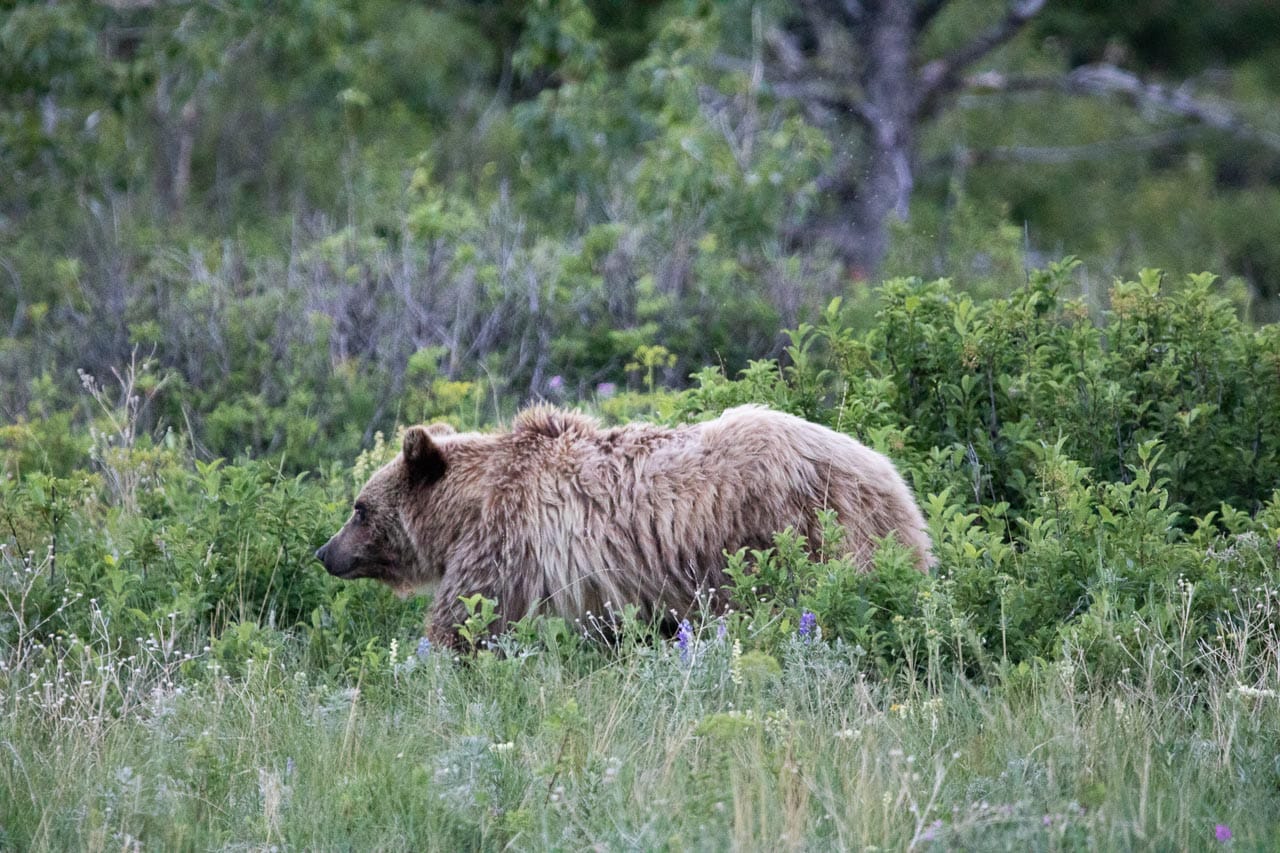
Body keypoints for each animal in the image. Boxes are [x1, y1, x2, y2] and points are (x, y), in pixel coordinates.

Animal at [309, 404, 931, 645]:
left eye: (359, 508)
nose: (324, 552)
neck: (466, 509)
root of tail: (892, 478)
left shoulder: (505, 542)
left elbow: (467, 617)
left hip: (791, 534)